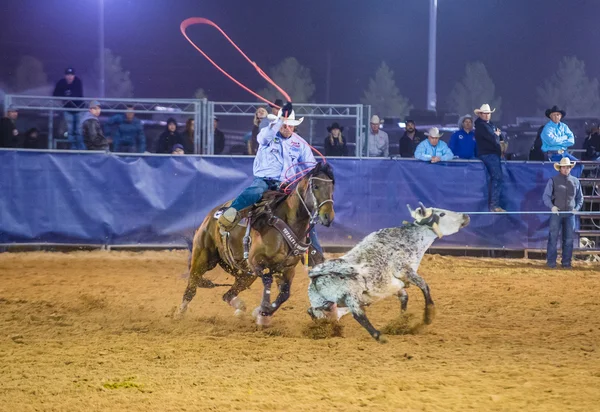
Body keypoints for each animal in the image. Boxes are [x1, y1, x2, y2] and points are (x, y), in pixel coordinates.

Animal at [178, 163, 336, 324]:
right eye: (315, 186)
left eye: (332, 188)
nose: (327, 217)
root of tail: (210, 216)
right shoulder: (256, 261)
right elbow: (267, 280)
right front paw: (262, 313)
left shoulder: (287, 268)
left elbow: (284, 295)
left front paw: (263, 312)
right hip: (202, 259)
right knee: (191, 287)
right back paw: (179, 314)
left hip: (246, 274)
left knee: (228, 295)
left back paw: (240, 308)